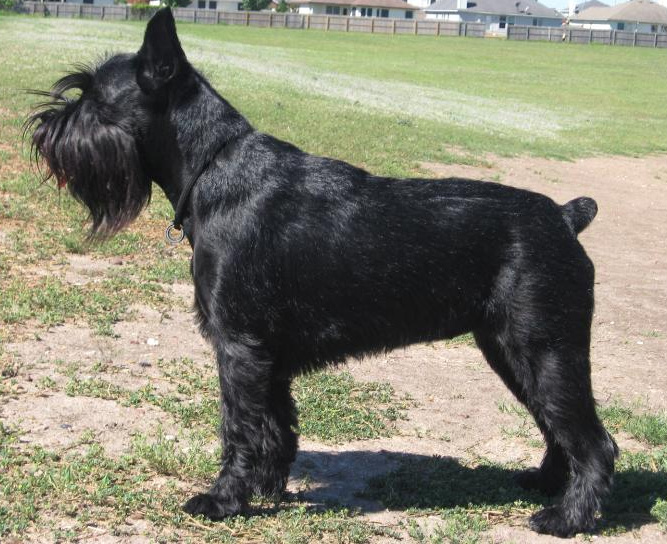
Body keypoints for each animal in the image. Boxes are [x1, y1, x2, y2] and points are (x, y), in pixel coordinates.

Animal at [28, 9, 620, 540]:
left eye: (93, 100)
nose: (43, 129)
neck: (213, 171)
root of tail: (564, 217)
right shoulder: (268, 355)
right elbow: (275, 424)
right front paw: (266, 488)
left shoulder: (238, 346)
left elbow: (239, 426)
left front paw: (223, 500)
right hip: (511, 351)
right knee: (558, 428)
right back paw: (546, 485)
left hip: (543, 348)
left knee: (593, 440)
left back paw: (567, 518)